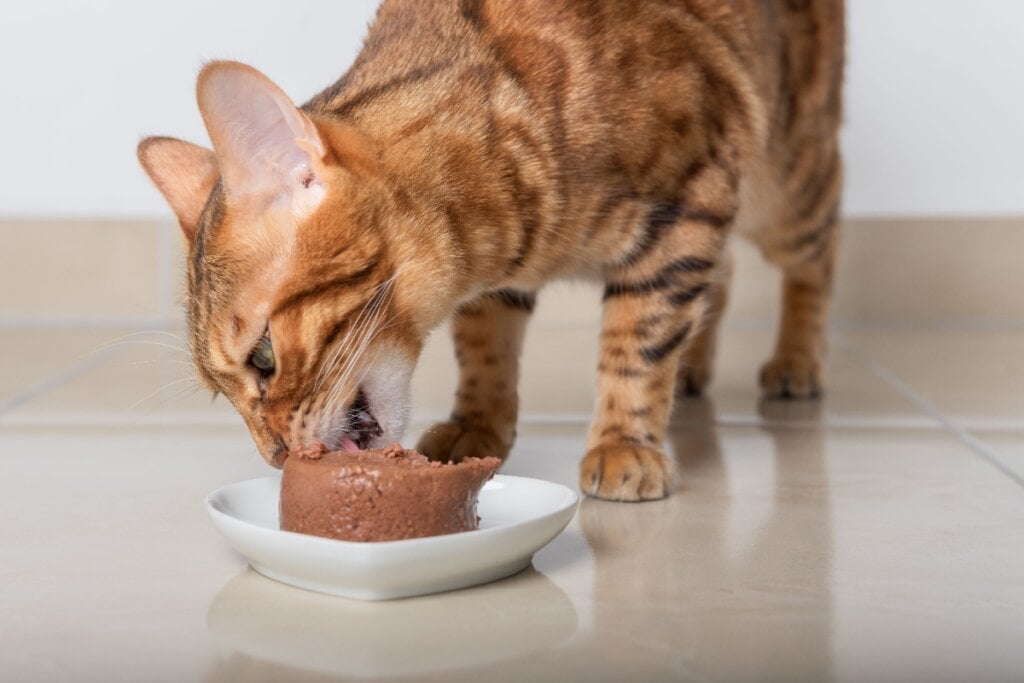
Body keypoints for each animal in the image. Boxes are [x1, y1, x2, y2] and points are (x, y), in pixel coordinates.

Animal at [136, 0, 843, 501]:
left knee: (816, 251)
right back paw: (695, 365)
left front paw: (624, 442)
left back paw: (797, 361)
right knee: (723, 272)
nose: (278, 456)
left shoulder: (686, 209)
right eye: (220, 392)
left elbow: (636, 342)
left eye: (262, 358)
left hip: (784, 183)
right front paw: (479, 423)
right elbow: (485, 348)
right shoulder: (498, 282)